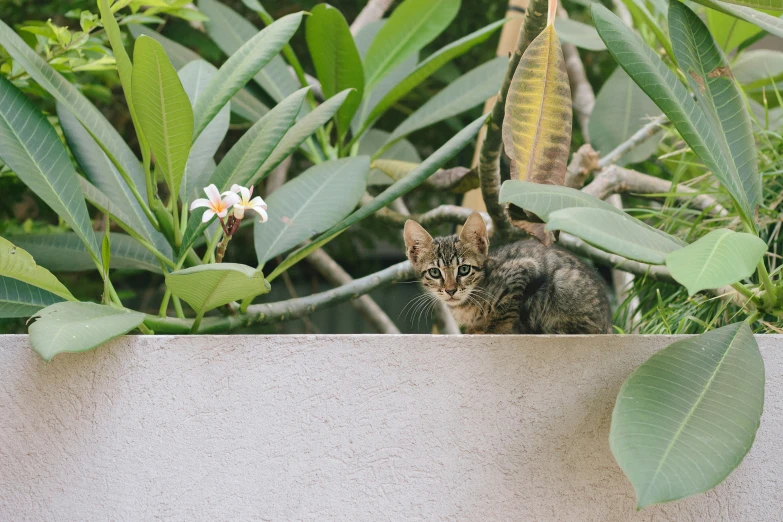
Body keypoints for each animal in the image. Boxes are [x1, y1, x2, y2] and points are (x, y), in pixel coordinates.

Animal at [404, 211, 612, 334]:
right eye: (434, 272)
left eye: (464, 269)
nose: (450, 290)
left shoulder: (523, 268)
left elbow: (505, 312)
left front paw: (492, 328)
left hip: (562, 286)